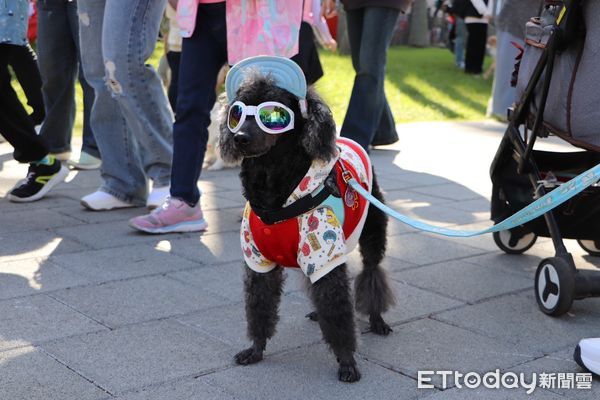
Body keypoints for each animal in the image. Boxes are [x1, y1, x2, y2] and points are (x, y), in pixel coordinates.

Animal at [219, 64, 394, 382]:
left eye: (273, 115)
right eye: (237, 113)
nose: (240, 138)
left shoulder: (324, 255)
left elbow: (338, 310)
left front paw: (347, 362)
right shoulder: (259, 262)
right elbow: (259, 306)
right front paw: (255, 349)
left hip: (373, 229)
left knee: (372, 272)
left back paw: (377, 320)